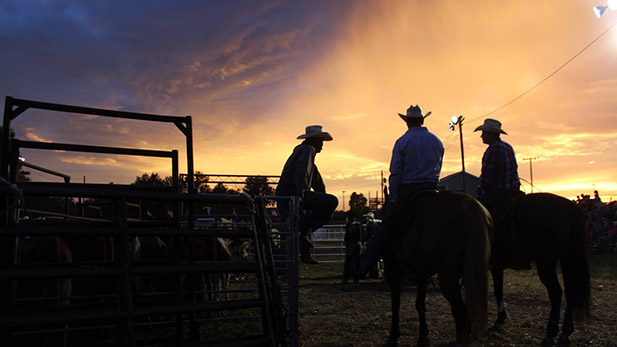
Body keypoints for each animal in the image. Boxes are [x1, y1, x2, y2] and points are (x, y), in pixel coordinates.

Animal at [384, 192, 490, 346]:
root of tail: (468, 203)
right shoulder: (421, 274)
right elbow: (420, 304)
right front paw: (423, 334)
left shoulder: (393, 272)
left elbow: (395, 303)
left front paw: (394, 334)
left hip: (447, 278)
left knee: (460, 310)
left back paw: (461, 341)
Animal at [488, 193, 588, 347]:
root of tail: (571, 208)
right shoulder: (497, 266)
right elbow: (498, 290)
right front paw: (501, 319)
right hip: (567, 258)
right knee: (570, 291)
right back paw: (566, 333)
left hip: (545, 263)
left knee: (556, 293)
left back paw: (550, 334)